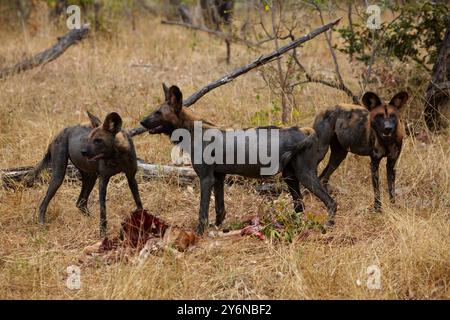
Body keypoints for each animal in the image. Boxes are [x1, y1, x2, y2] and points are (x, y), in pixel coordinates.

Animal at [139, 84, 336, 235]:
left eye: (158, 112)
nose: (141, 121)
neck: (192, 132)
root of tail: (304, 130)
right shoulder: (218, 178)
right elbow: (220, 209)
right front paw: (217, 228)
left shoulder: (206, 179)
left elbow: (202, 213)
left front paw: (199, 234)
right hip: (290, 178)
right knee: (299, 206)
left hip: (305, 175)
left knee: (331, 202)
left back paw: (328, 226)